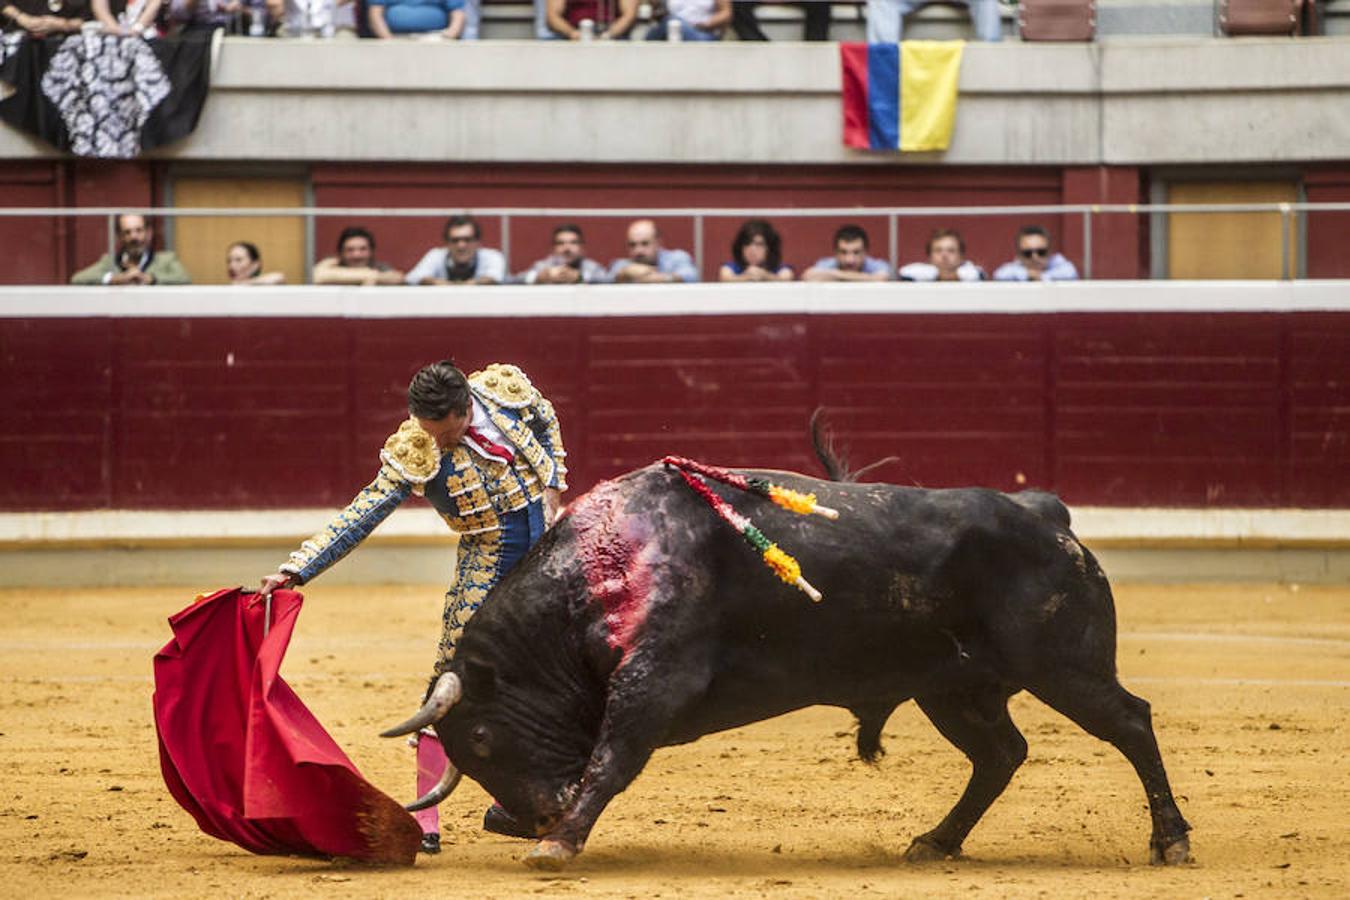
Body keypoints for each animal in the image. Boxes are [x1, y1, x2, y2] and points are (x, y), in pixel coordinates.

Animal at [380, 437, 1193, 874]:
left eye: (485, 737)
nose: (532, 818)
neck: (598, 572)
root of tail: (1047, 513)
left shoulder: (657, 680)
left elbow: (611, 758)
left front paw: (559, 847)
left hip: (1063, 666)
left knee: (1129, 722)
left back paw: (1172, 841)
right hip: (953, 687)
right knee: (1000, 754)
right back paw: (935, 841)